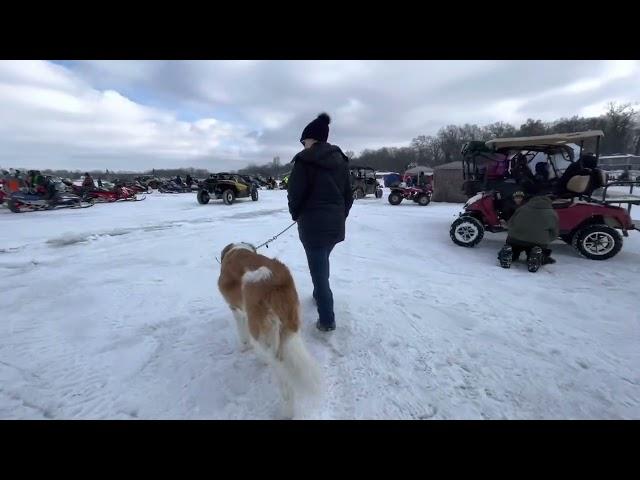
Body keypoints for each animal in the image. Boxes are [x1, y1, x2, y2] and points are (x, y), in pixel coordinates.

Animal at [219, 242, 320, 418]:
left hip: (263, 333)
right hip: (290, 328)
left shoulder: (237, 311)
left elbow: (243, 335)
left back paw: (286, 412)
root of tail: (274, 283)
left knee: (284, 380)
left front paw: (245, 348)